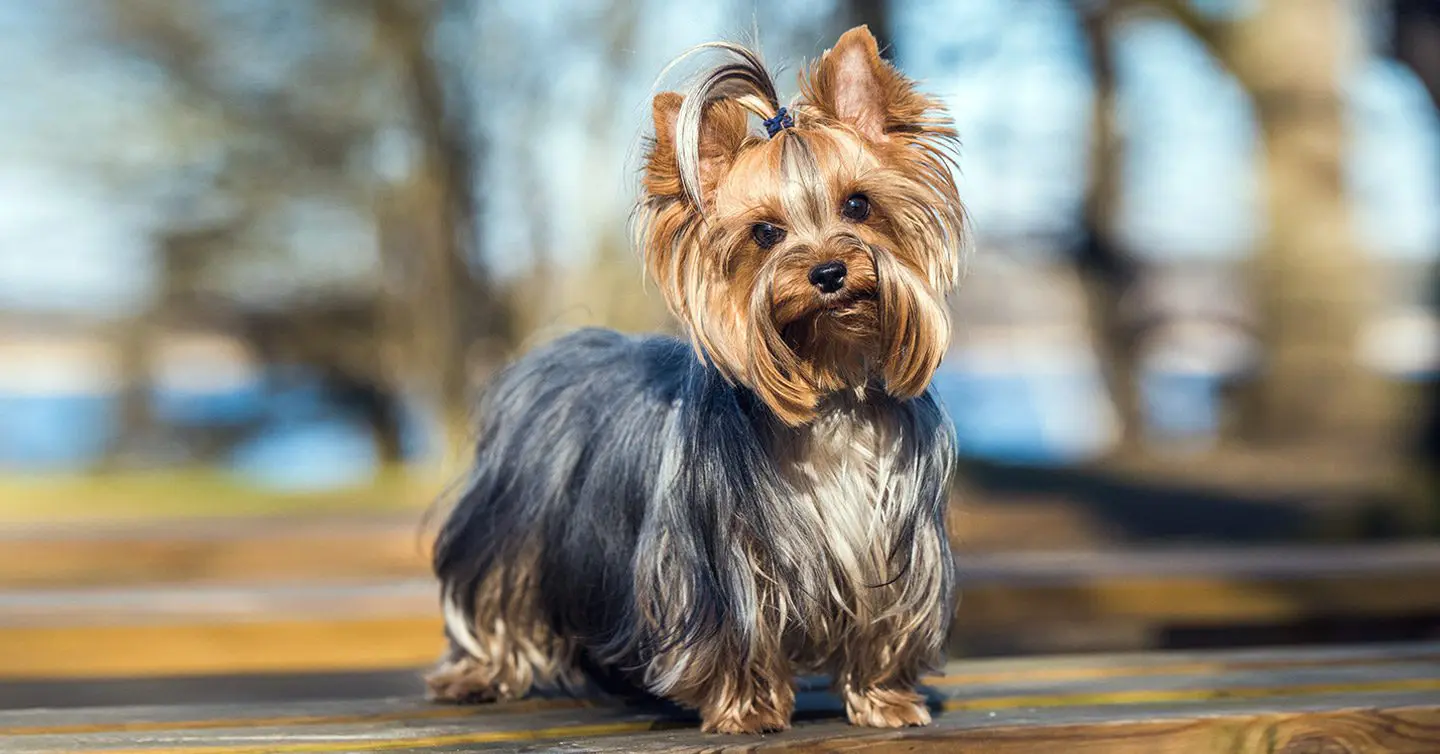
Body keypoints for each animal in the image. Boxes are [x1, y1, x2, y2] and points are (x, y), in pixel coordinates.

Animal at [426, 26, 967, 733]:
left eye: (858, 204)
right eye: (764, 233)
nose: (828, 272)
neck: (832, 395)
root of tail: (558, 351)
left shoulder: (895, 553)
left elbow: (885, 626)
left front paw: (886, 700)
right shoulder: (721, 564)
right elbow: (736, 639)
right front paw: (748, 709)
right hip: (512, 534)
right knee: (492, 597)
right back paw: (476, 675)